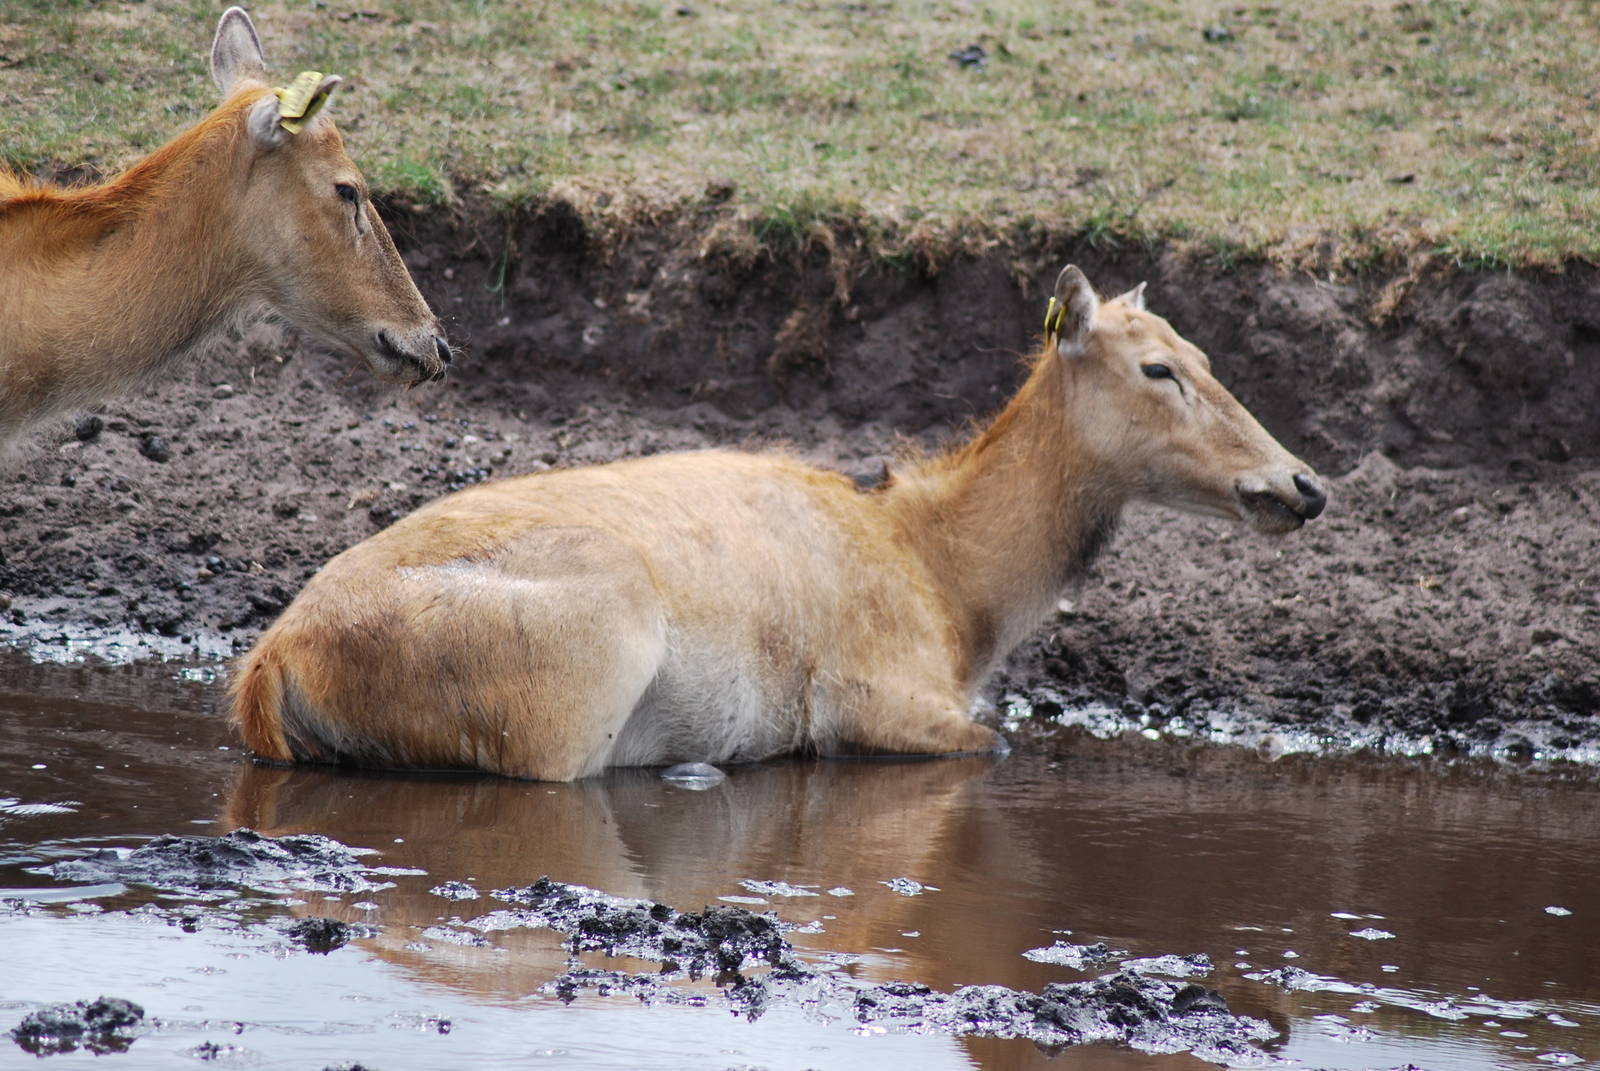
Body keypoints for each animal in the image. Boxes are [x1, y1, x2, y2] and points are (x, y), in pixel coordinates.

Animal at [231, 265, 1328, 781]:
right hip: (568, 684)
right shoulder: (869, 698)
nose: (1303, 483)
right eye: (1159, 367)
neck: (956, 595)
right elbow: (998, 742)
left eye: (1205, 352)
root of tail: (269, 666)